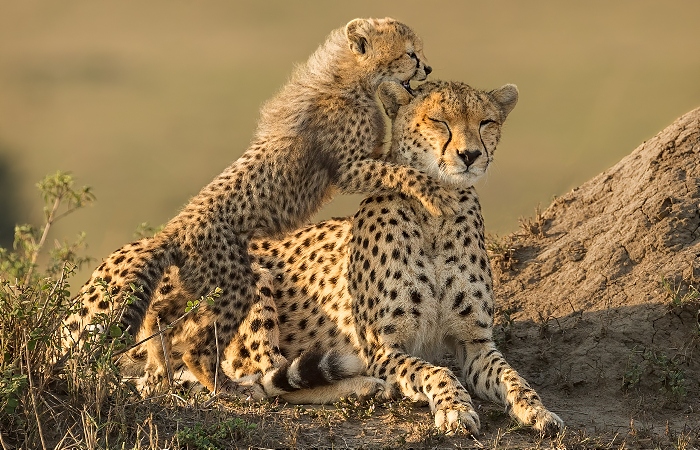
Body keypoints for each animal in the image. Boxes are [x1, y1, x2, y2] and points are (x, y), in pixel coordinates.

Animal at [64, 17, 460, 394]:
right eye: (410, 53)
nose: (427, 68)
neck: (351, 80)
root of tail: (172, 231)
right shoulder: (350, 168)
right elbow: (400, 170)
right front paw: (437, 192)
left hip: (197, 283)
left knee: (160, 314)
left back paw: (161, 364)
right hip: (236, 280)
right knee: (200, 345)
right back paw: (226, 387)